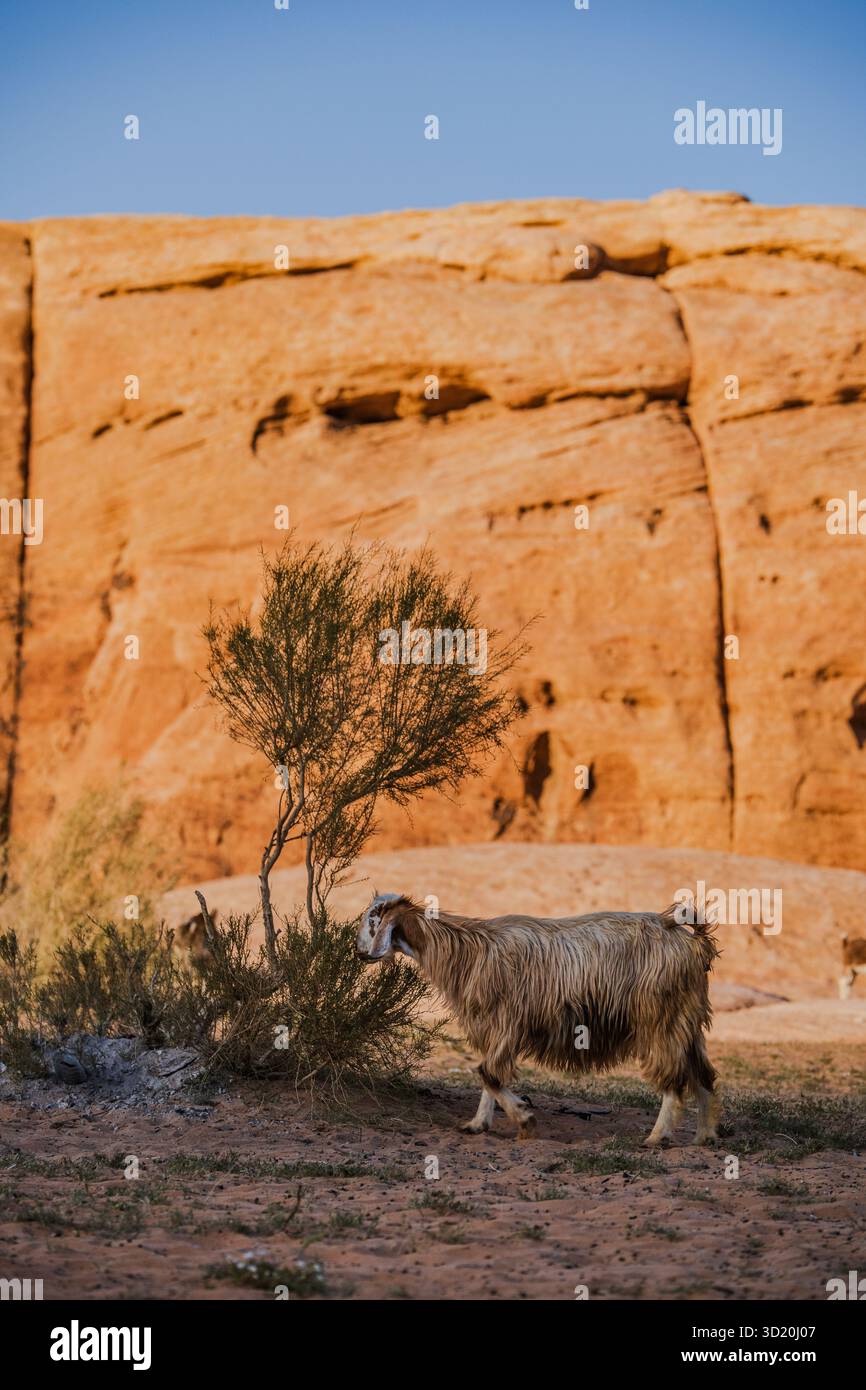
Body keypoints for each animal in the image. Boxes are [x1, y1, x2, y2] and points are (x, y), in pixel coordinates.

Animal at [356, 893, 720, 1146]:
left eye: (372, 921)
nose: (359, 952)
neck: (469, 950)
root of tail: (694, 940)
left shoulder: (508, 1021)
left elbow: (488, 1073)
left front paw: (524, 1119)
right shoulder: (493, 1027)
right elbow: (489, 1077)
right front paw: (478, 1124)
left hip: (661, 1017)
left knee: (674, 1078)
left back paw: (657, 1137)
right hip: (687, 1019)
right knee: (703, 1075)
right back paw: (704, 1136)